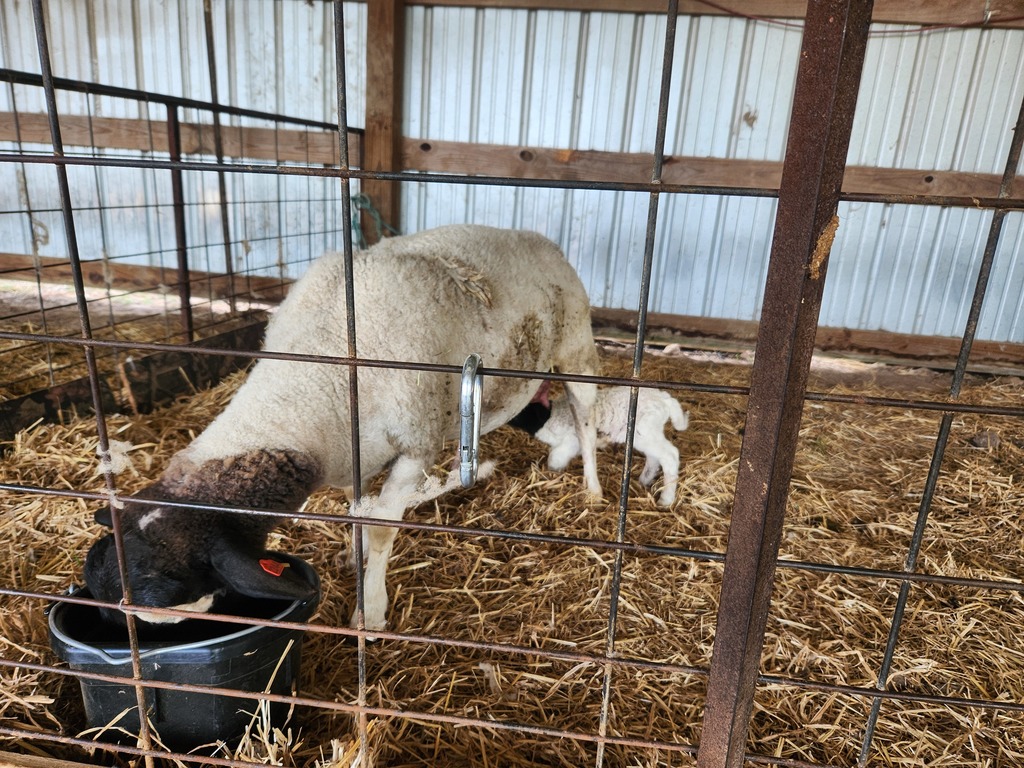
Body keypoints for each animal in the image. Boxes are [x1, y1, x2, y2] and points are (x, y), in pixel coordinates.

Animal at [84, 225, 602, 632]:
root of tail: (534, 237)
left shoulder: (414, 447)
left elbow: (382, 529)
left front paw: (369, 613)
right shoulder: (353, 450)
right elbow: (355, 512)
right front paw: (353, 558)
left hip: (577, 347)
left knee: (587, 418)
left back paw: (594, 491)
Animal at [517, 386, 689, 507]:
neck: (548, 416)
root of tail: (665, 399)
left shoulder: (572, 440)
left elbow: (555, 456)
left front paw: (551, 473)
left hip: (645, 432)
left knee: (670, 455)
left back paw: (666, 499)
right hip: (648, 434)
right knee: (655, 456)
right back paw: (644, 480)